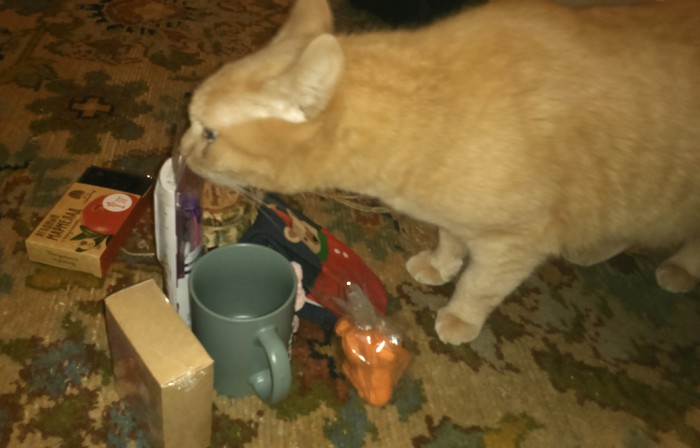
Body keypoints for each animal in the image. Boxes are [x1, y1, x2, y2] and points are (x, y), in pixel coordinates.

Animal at [180, 0, 700, 345]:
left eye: (209, 134)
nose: (180, 152)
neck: (435, 111)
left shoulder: (518, 241)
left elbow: (478, 284)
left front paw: (460, 315)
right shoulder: (455, 218)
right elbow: (451, 242)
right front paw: (439, 263)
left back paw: (676, 269)